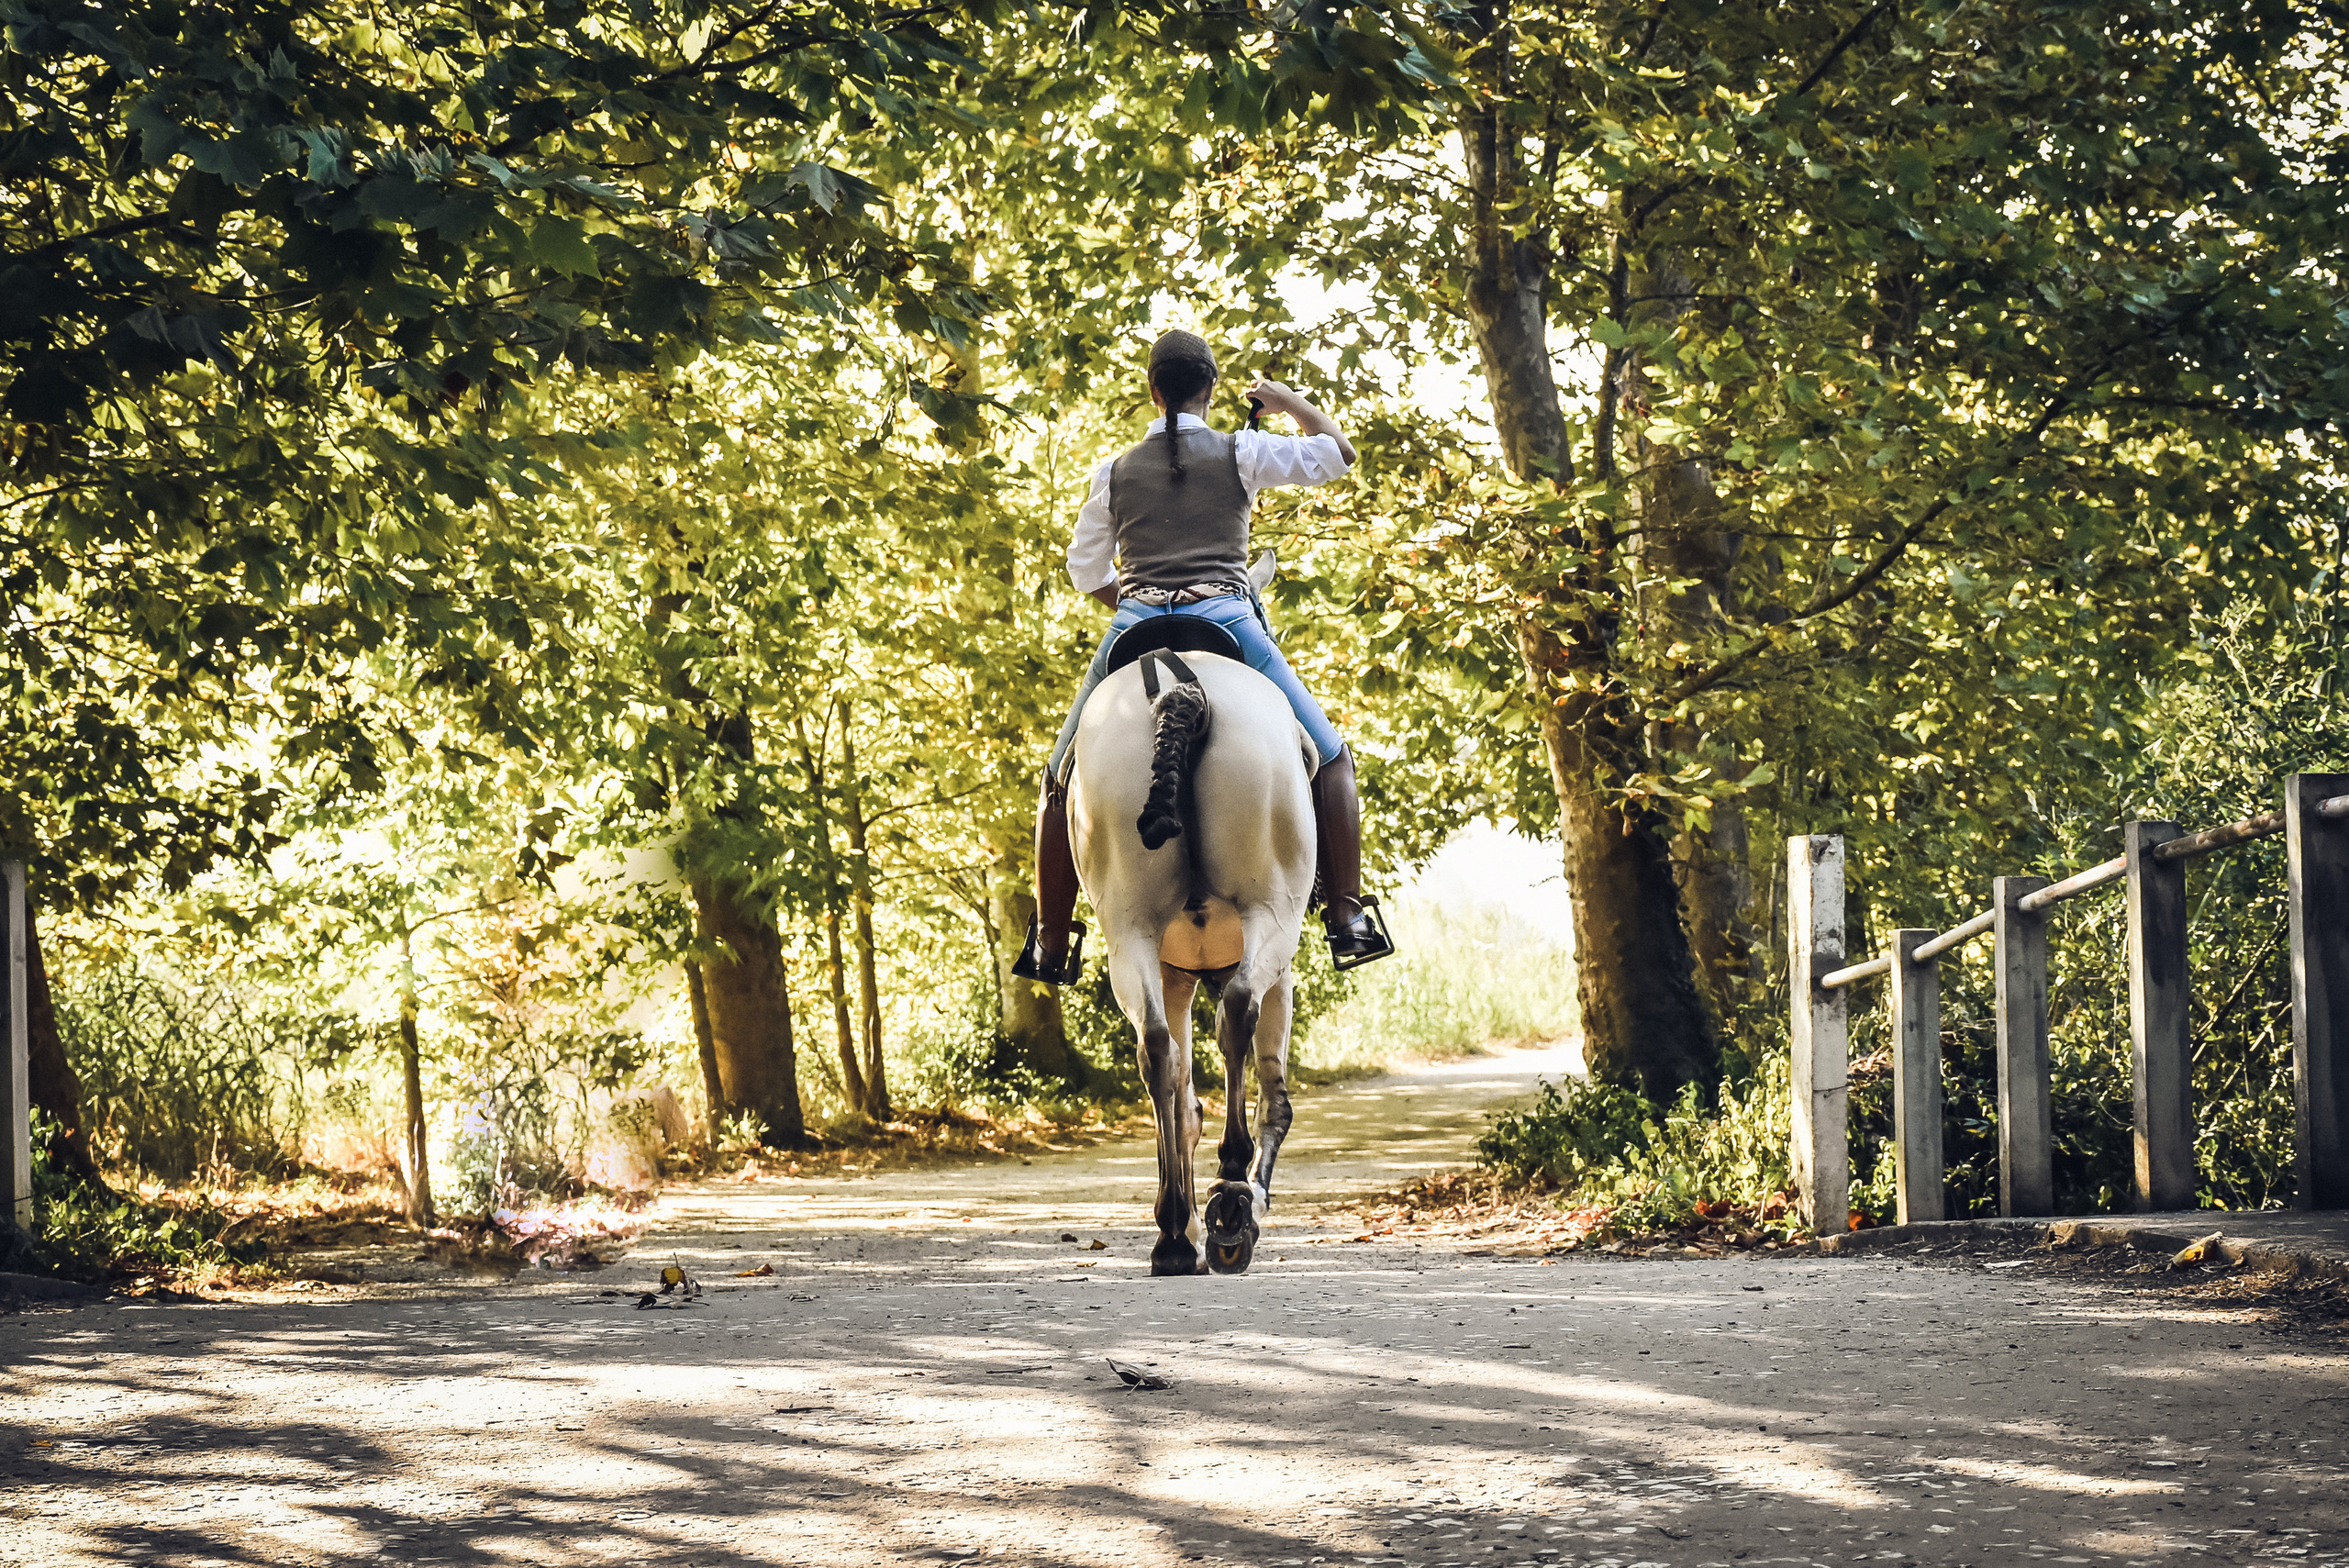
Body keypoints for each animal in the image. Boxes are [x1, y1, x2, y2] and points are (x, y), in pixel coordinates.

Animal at [1065, 585, 1318, 1277]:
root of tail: (1181, 689)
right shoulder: (1281, 969)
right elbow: (1271, 1096)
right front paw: (1243, 1202)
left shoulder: (1172, 972)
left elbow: (1180, 1091)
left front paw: (1181, 1219)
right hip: (1269, 913)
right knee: (1237, 1009)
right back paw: (1230, 1195)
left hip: (1129, 933)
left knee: (1156, 1050)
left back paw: (1176, 1237)